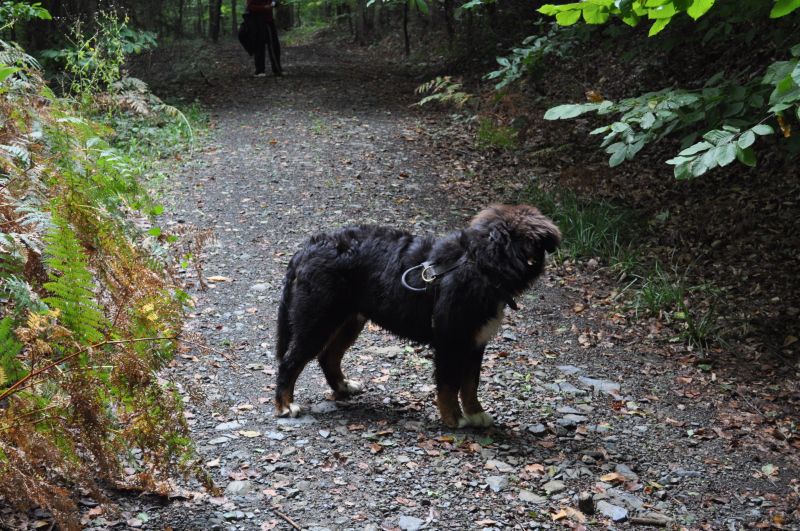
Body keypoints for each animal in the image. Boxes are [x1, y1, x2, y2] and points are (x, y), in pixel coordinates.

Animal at [274, 204, 560, 428]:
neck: (480, 264)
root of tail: (307, 248)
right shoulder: (450, 341)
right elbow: (449, 385)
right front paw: (454, 419)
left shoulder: (476, 341)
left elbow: (471, 384)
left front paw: (476, 414)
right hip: (317, 319)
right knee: (290, 362)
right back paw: (285, 405)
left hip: (349, 320)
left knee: (328, 356)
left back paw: (343, 387)